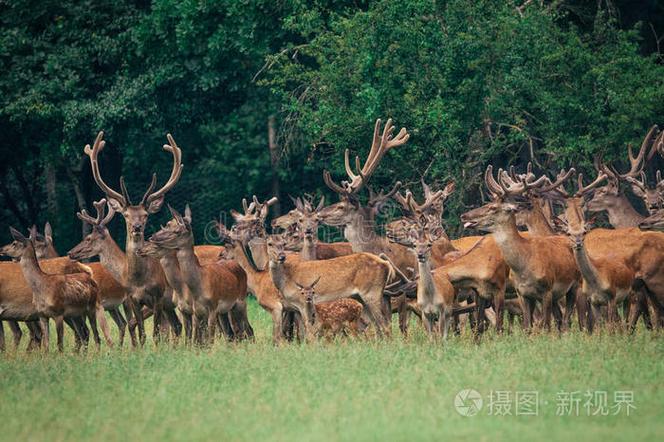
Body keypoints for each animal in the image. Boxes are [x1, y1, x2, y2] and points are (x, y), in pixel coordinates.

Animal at [84, 131, 183, 345]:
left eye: (145, 215)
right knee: (177, 326)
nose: (137, 227)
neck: (138, 280)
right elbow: (142, 332)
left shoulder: (157, 297)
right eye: (126, 215)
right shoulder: (131, 299)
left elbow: (155, 333)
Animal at [144, 205, 249, 344]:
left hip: (241, 301)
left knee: (247, 331)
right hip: (225, 310)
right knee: (232, 333)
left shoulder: (211, 309)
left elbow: (207, 340)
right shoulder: (193, 311)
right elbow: (193, 340)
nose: (152, 237)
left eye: (176, 231)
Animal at [265, 233, 395, 339]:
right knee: (375, 324)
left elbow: (307, 330)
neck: (286, 280)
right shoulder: (296, 307)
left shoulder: (303, 302)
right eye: (269, 244)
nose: (282, 257)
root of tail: (387, 264)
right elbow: (301, 332)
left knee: (384, 323)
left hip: (372, 291)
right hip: (360, 297)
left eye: (283, 243)